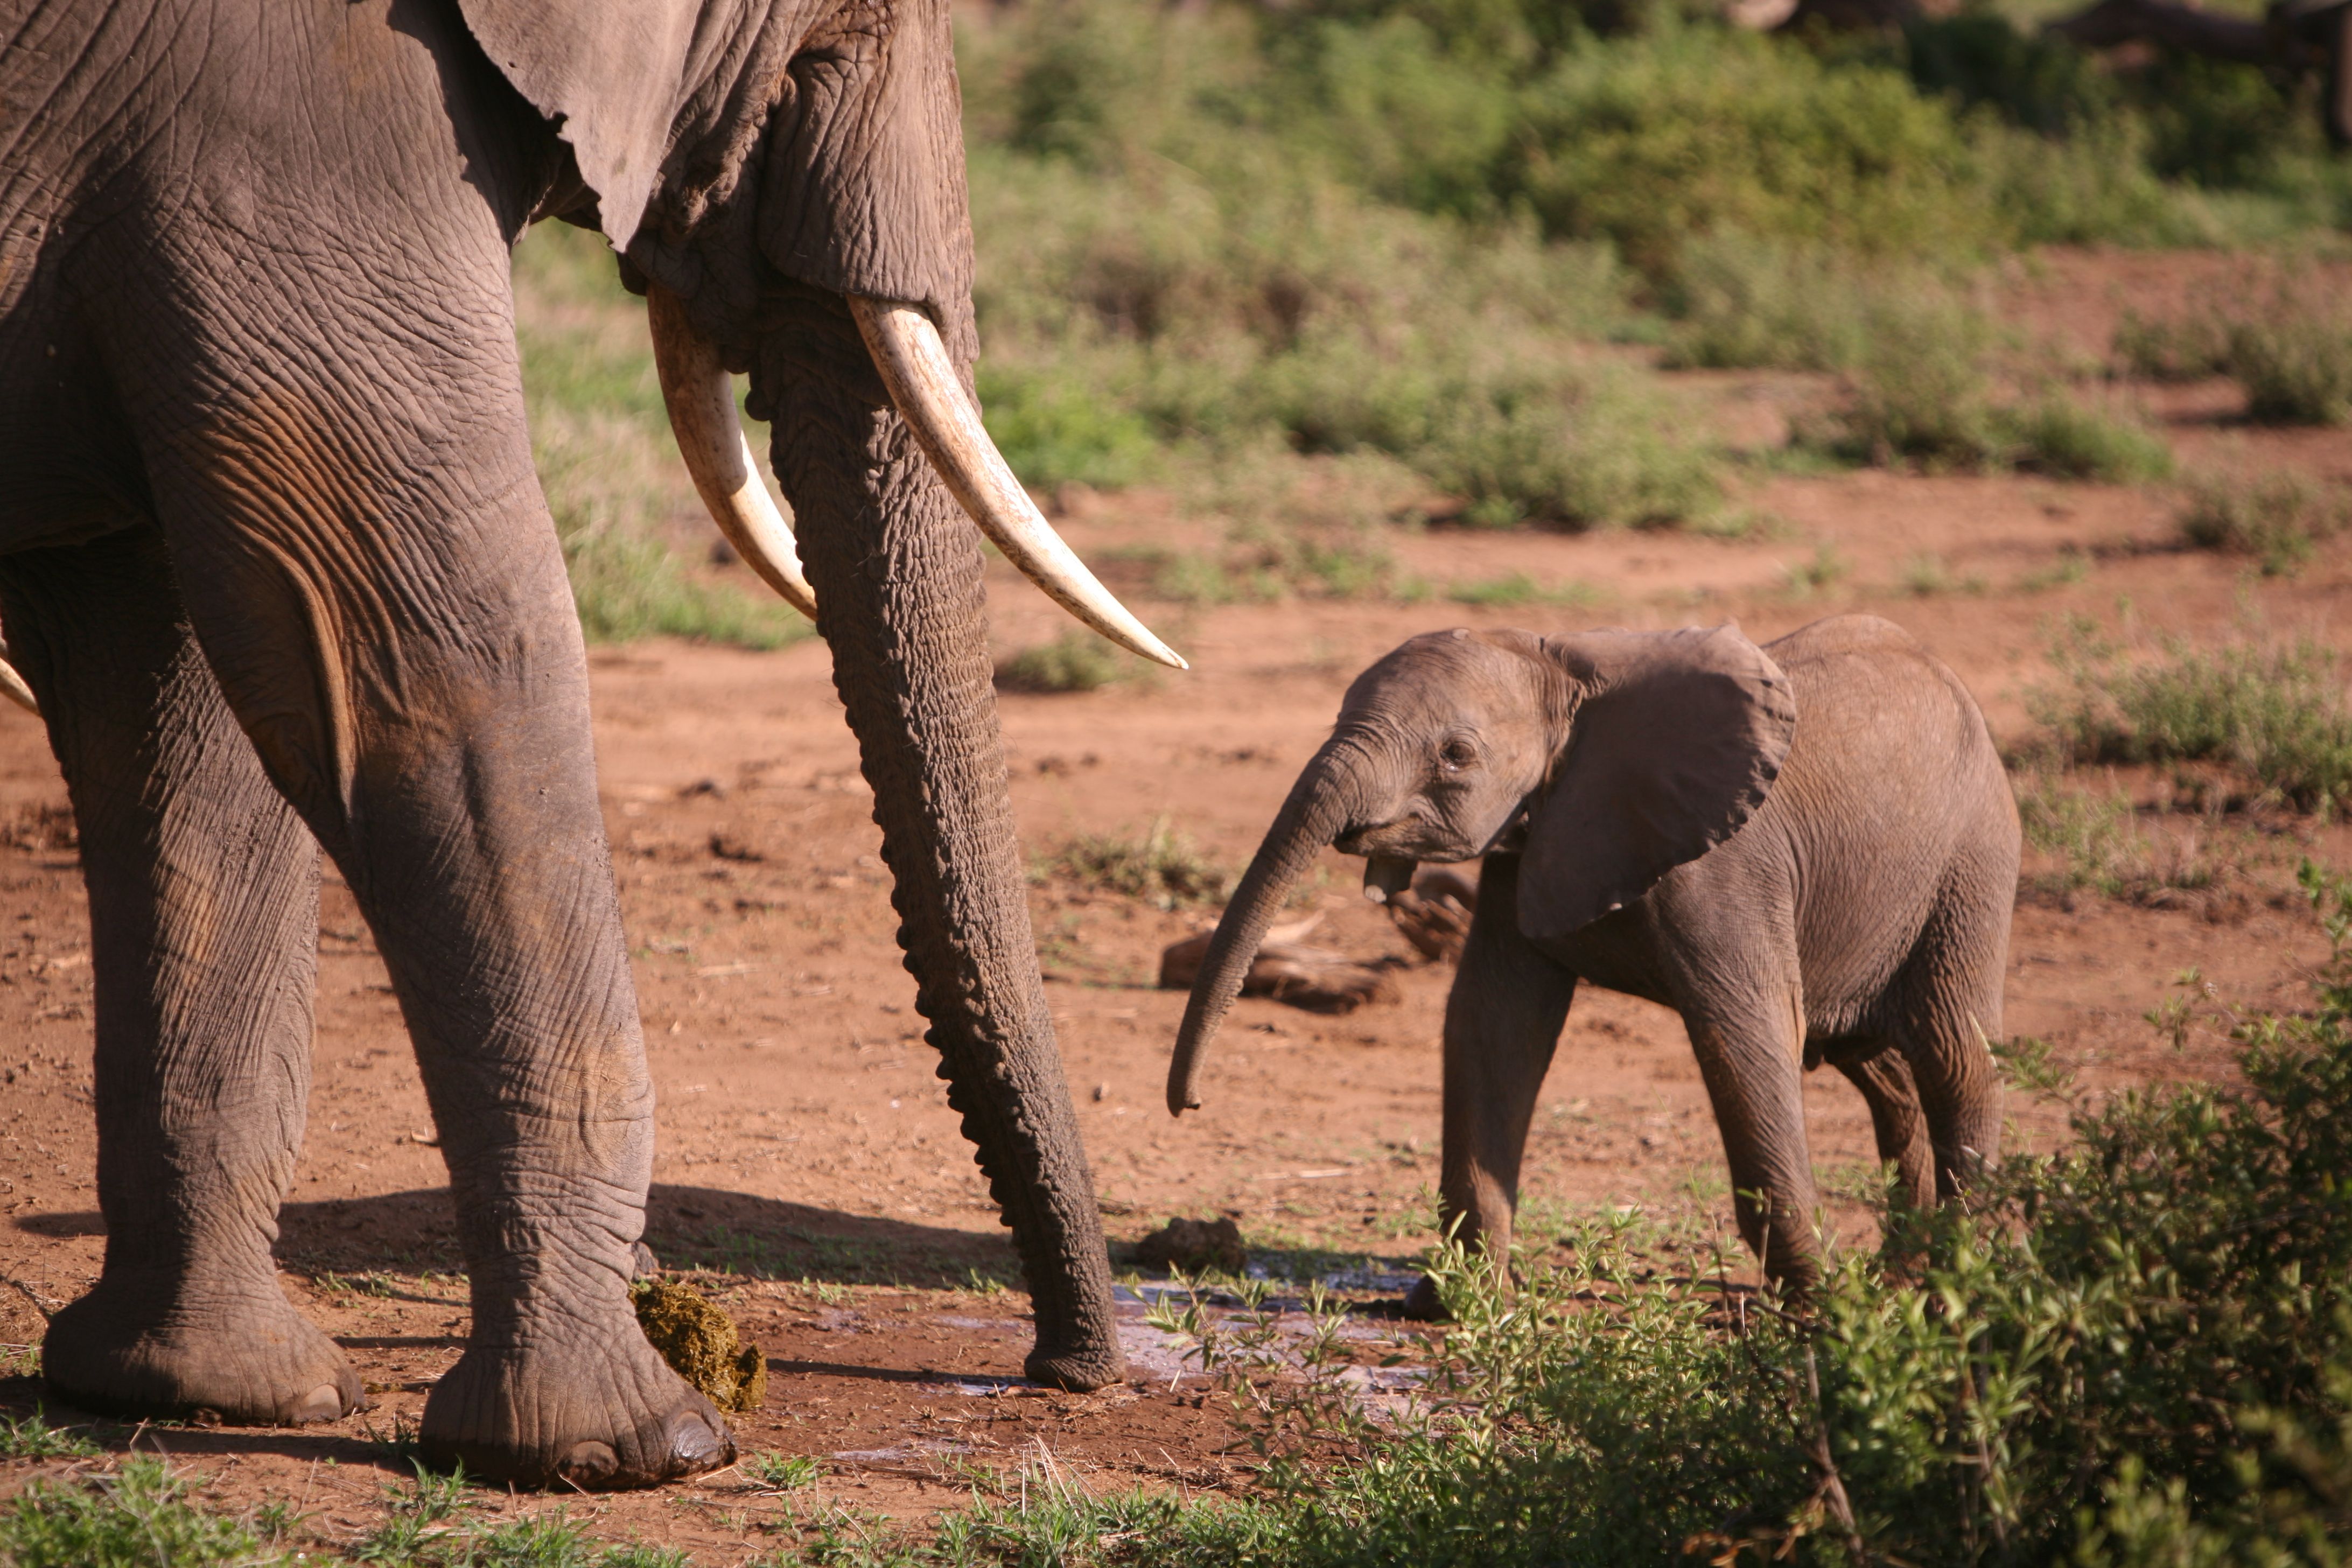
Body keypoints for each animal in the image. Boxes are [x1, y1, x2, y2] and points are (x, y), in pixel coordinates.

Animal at [0, 0, 1184, 1489]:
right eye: (838, 42)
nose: (1069, 1370)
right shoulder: (286, 135)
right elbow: (442, 663)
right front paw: (637, 1447)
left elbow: (173, 701)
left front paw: (211, 1393)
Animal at [1166, 615, 2018, 1303]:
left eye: (1456, 755)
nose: (1190, 1105)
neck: (1563, 669)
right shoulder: (1524, 841)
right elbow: (1493, 1022)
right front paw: (1459, 1304)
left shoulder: (1726, 867)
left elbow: (1745, 1033)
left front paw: (1822, 1308)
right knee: (1878, 1066)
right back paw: (1902, 1276)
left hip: (1973, 856)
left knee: (1952, 1056)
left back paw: (1955, 1283)